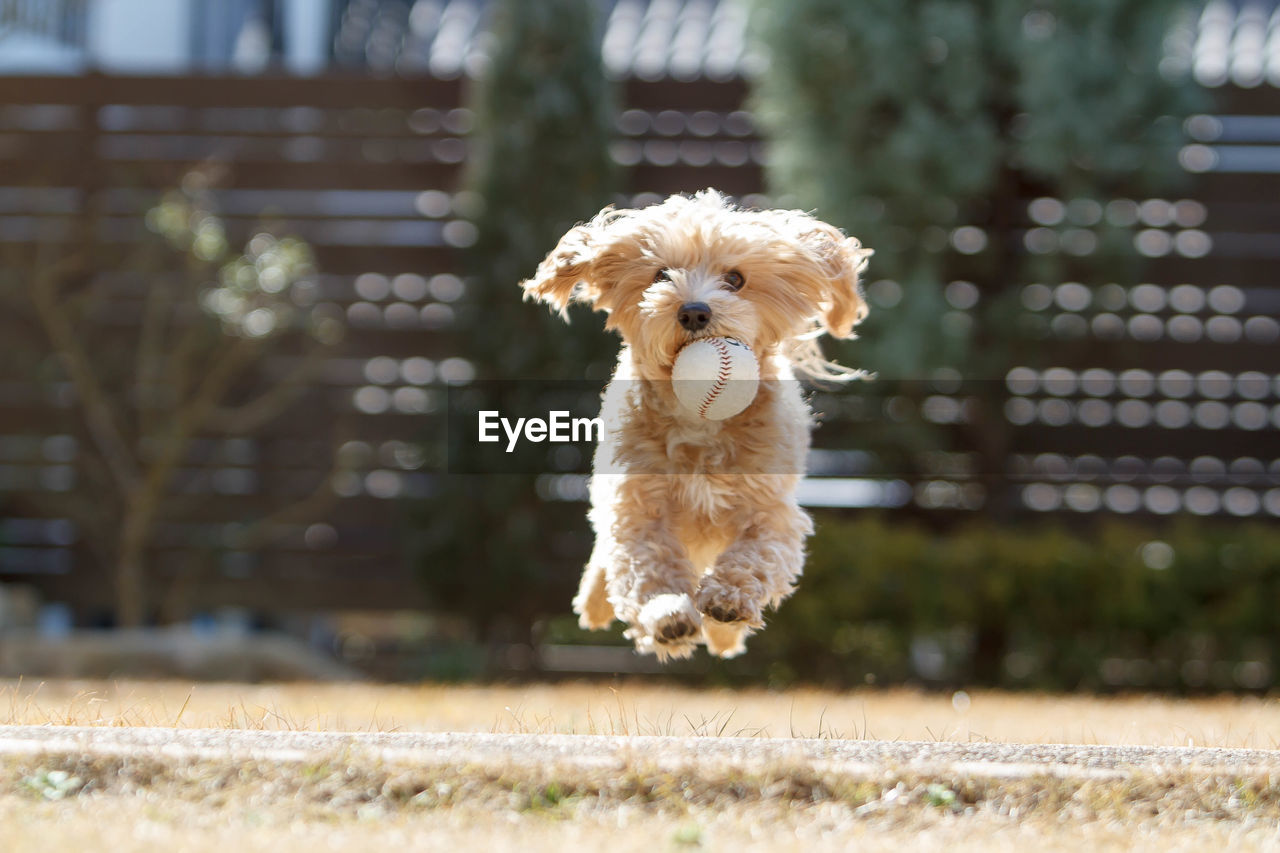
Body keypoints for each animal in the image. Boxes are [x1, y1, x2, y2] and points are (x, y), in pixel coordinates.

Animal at [519, 190, 870, 655]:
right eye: (661, 274)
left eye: (736, 279)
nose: (693, 312)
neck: (700, 420)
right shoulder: (636, 502)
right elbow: (645, 562)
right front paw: (667, 613)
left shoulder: (770, 509)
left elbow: (759, 553)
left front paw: (729, 599)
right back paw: (596, 602)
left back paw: (723, 635)